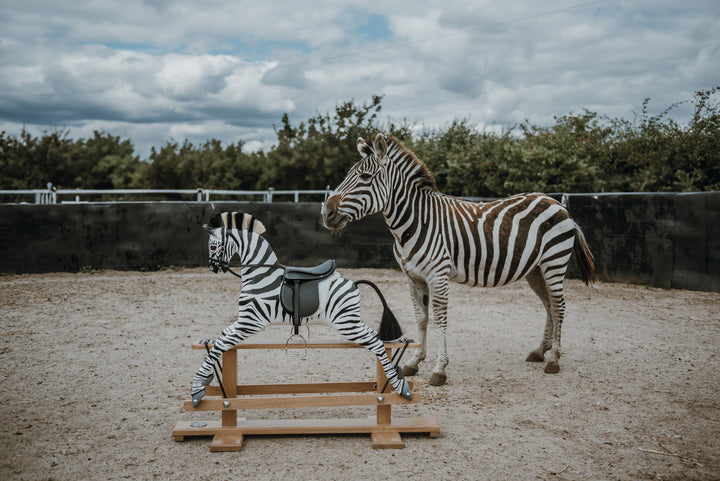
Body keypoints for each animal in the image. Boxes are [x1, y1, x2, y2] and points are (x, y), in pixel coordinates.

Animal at [190, 211, 412, 406]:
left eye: (213, 246)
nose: (213, 268)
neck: (261, 276)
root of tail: (354, 284)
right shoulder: (244, 321)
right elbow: (220, 338)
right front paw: (206, 378)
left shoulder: (250, 322)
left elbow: (220, 344)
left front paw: (196, 388)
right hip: (350, 322)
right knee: (376, 338)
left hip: (347, 324)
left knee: (377, 343)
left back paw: (400, 386)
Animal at [321, 133, 596, 386]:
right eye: (348, 175)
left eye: (365, 177)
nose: (326, 213)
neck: (415, 223)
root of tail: (557, 204)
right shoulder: (413, 278)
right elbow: (422, 318)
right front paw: (414, 362)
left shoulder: (438, 276)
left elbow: (440, 320)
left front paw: (439, 369)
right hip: (535, 270)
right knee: (549, 306)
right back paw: (540, 351)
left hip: (554, 262)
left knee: (558, 307)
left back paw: (554, 359)